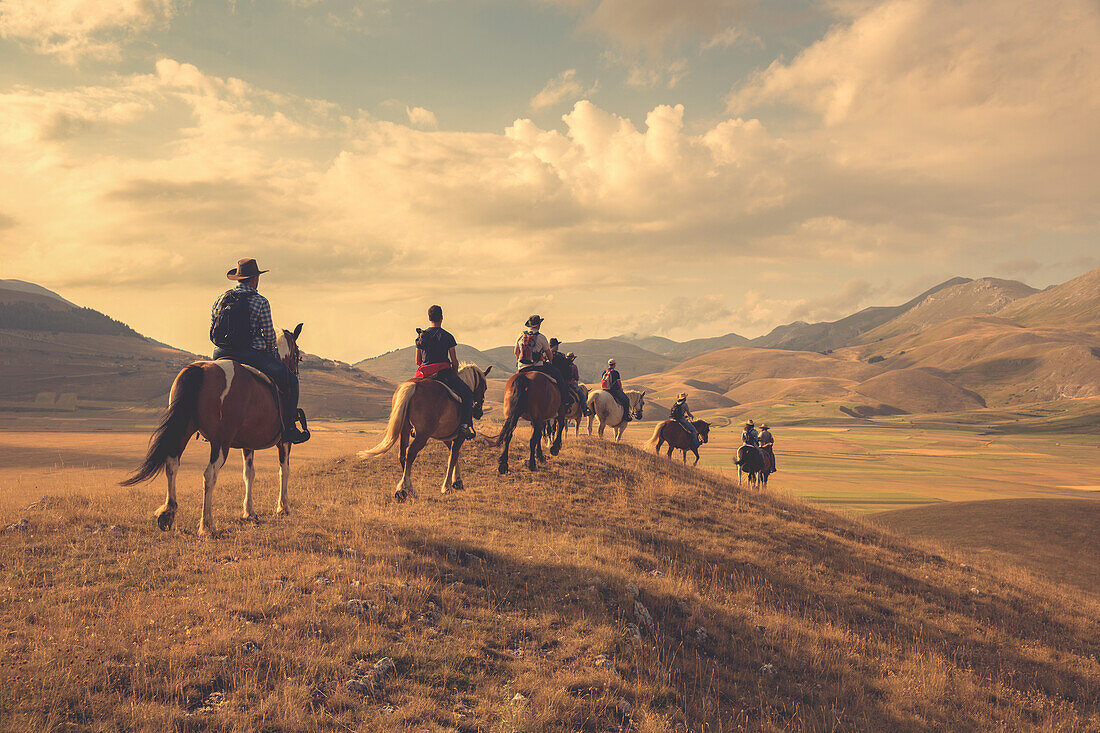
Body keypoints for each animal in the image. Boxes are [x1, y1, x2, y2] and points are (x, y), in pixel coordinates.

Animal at [121, 323, 305, 534]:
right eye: (297, 353)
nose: (295, 371)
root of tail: (201, 369)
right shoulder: (284, 441)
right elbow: (284, 470)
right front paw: (283, 507)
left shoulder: (247, 443)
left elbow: (249, 474)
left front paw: (249, 512)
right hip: (220, 442)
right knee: (210, 475)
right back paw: (207, 523)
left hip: (183, 431)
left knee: (172, 464)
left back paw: (168, 512)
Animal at [356, 363, 490, 499]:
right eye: (485, 387)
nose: (479, 412)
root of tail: (413, 385)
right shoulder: (460, 436)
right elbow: (453, 456)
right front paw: (448, 486)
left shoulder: (445, 436)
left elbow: (453, 454)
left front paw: (456, 481)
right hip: (422, 435)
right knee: (410, 453)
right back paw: (403, 488)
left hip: (405, 430)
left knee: (402, 454)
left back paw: (408, 488)